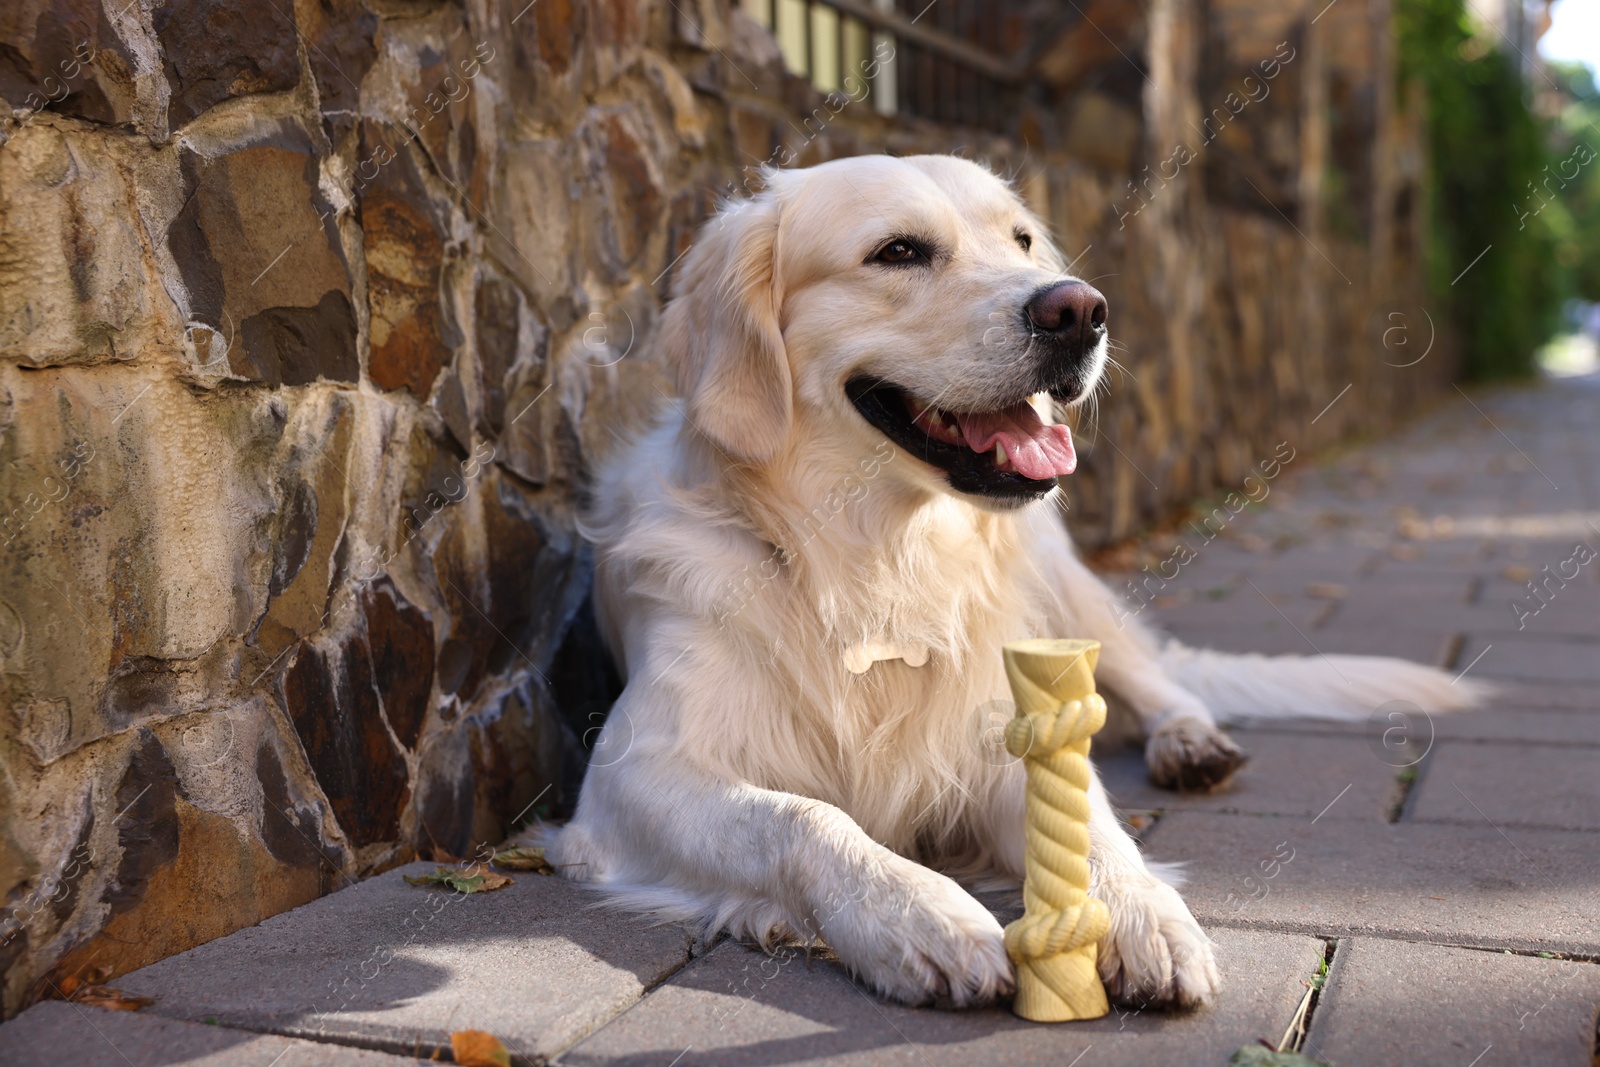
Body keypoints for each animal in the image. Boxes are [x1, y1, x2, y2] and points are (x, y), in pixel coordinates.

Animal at [544, 151, 1478, 1011]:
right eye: (898, 251)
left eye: (1022, 239)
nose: (1080, 309)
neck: (876, 557)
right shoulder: (632, 774)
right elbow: (803, 815)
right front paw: (922, 915)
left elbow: (1092, 821)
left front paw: (1144, 910)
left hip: (1065, 589)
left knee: (1156, 685)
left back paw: (1188, 741)